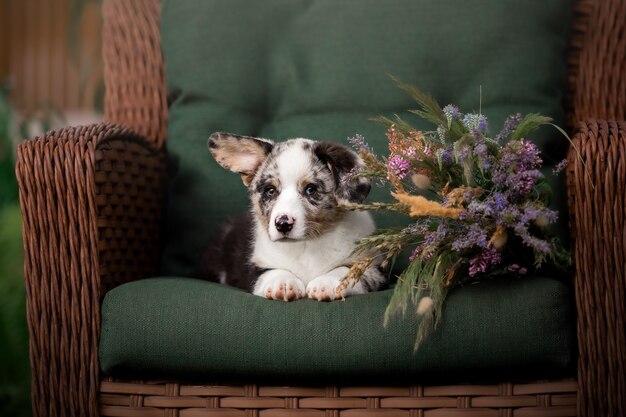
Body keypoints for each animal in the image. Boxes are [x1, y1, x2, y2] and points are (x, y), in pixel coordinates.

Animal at [201, 132, 386, 300]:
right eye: (270, 190)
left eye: (311, 189)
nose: (283, 224)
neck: (306, 246)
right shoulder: (254, 268)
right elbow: (271, 271)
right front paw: (282, 282)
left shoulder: (374, 268)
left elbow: (349, 271)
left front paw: (326, 282)